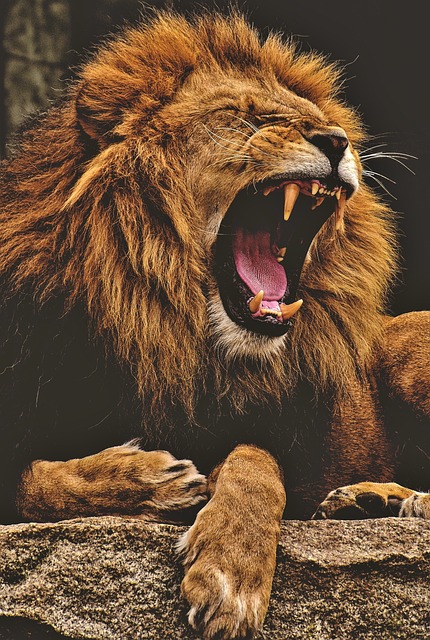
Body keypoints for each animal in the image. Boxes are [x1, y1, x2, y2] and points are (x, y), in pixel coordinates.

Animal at [0, 9, 429, 640]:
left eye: (322, 121)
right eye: (245, 115)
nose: (337, 141)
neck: (170, 331)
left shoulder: (282, 432)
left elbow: (254, 460)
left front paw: (230, 575)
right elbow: (32, 483)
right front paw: (150, 480)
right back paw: (365, 501)